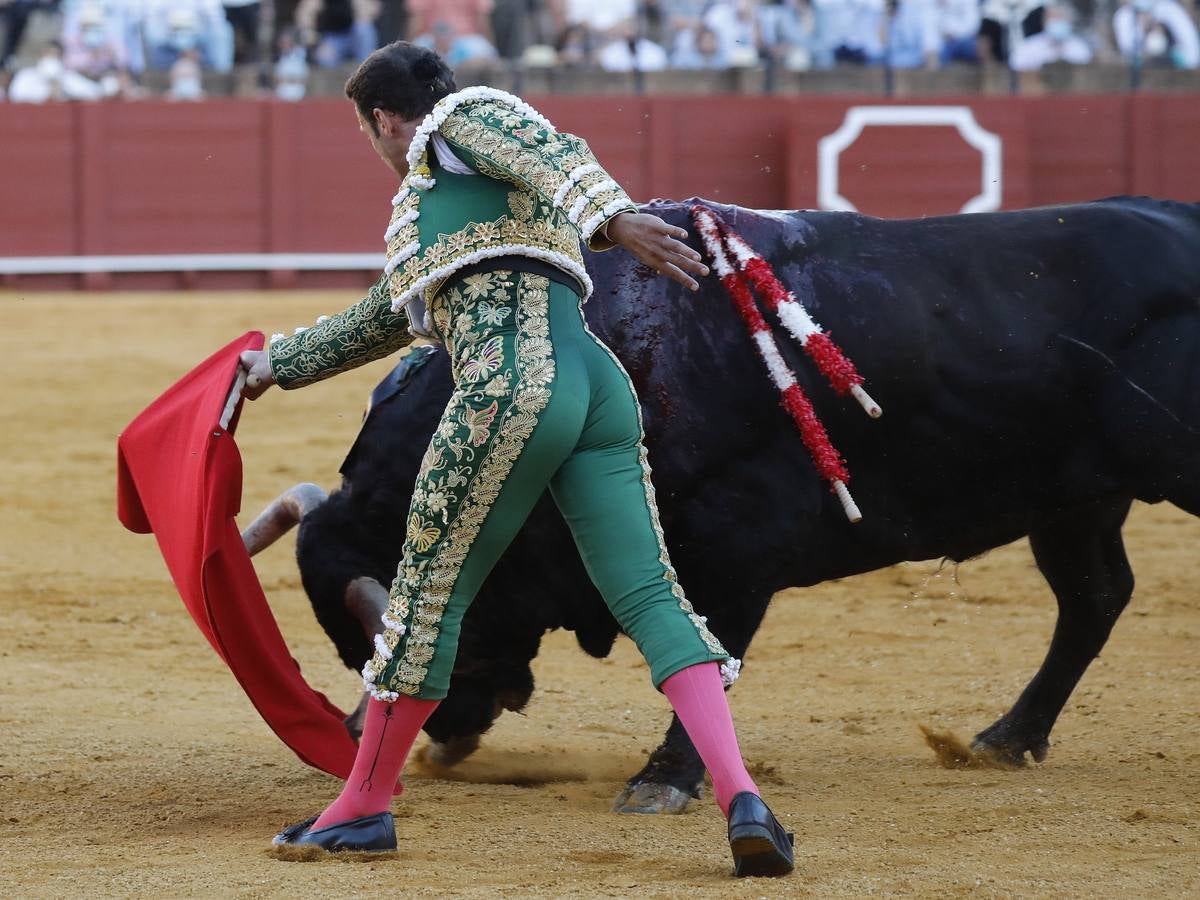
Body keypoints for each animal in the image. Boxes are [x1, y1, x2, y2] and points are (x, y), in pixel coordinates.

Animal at [246, 199, 1200, 816]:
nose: (436, 733)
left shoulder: (735, 552)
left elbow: (703, 649)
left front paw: (665, 778)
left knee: (1093, 598)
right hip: (1077, 501)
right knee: (1094, 598)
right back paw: (1006, 737)